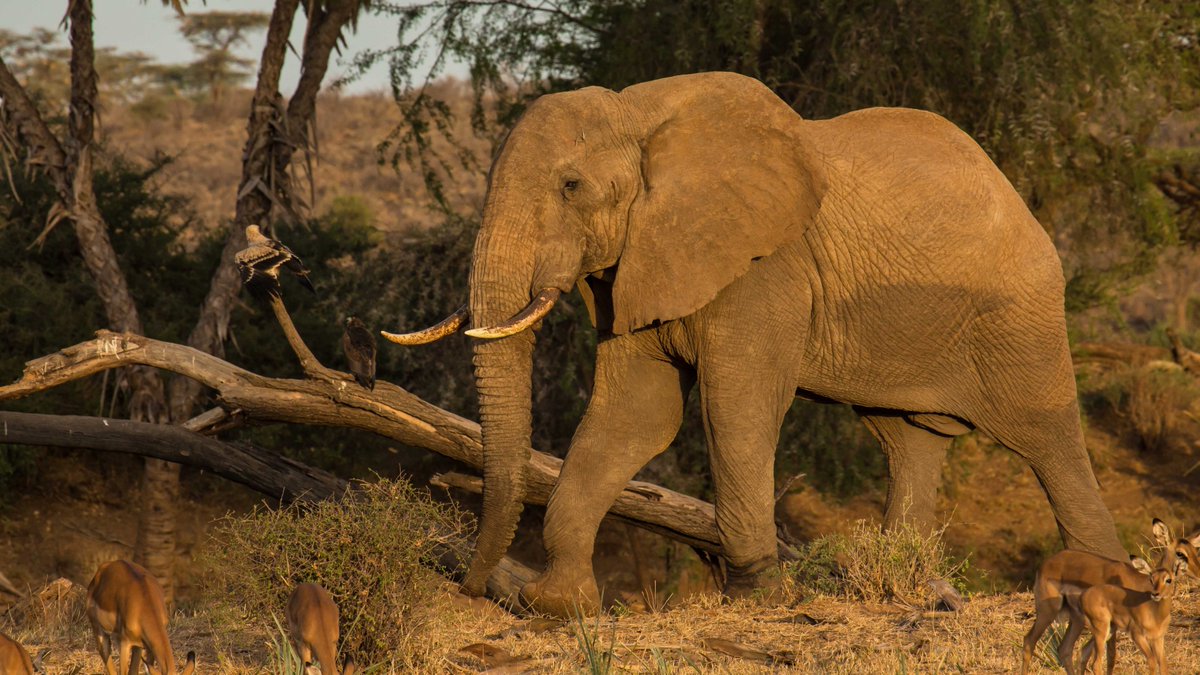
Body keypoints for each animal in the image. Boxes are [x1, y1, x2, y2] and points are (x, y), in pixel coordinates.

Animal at [385, 71, 1126, 617]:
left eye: (571, 186)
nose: (470, 588)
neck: (638, 113)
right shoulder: (638, 264)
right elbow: (637, 414)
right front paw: (559, 606)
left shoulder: (764, 267)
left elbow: (735, 406)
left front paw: (758, 595)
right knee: (908, 440)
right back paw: (910, 587)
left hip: (1020, 314)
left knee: (1048, 437)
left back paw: (1104, 587)